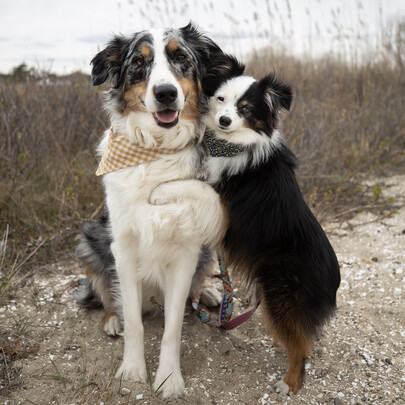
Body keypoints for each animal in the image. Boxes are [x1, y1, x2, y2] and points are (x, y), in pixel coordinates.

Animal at [153, 55, 340, 392]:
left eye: (246, 108)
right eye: (221, 99)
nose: (225, 121)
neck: (232, 144)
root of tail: (335, 279)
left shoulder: (223, 206)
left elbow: (190, 185)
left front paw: (159, 191)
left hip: (281, 296)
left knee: (301, 346)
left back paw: (289, 382)